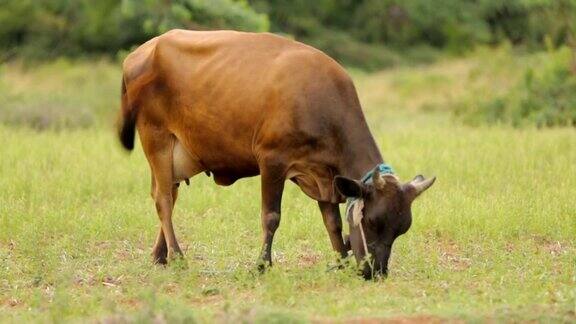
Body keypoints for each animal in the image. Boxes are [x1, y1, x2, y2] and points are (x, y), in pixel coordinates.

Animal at [117, 29, 434, 278]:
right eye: (371, 222)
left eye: (400, 229)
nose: (376, 272)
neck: (321, 104)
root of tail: (142, 51)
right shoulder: (272, 160)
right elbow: (271, 216)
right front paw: (262, 265)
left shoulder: (323, 175)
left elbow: (332, 222)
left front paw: (341, 260)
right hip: (155, 137)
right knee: (163, 199)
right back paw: (177, 256)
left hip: (177, 152)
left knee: (169, 193)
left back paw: (160, 255)